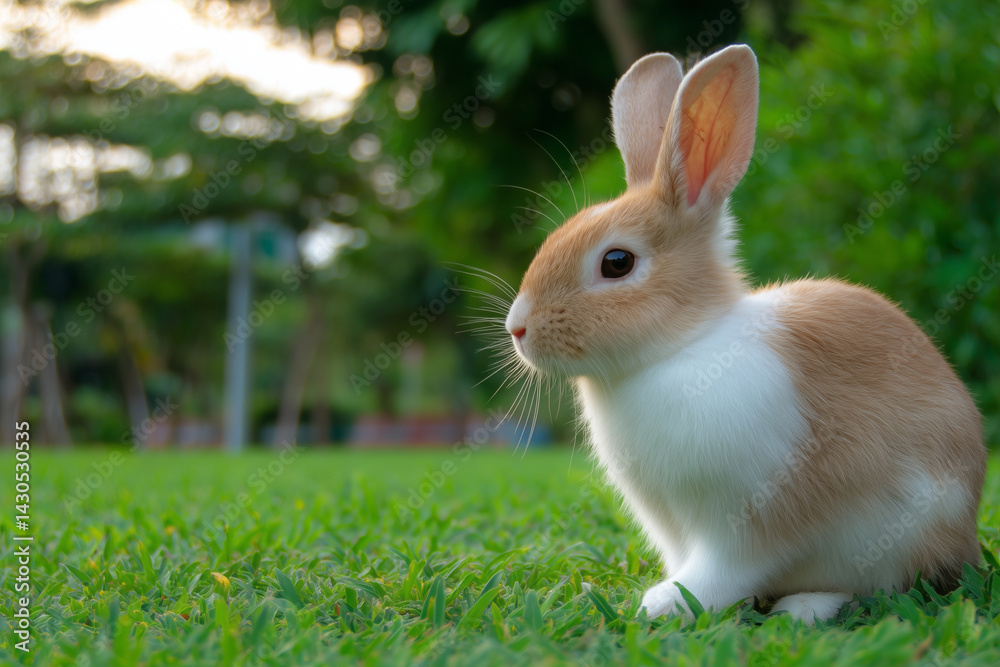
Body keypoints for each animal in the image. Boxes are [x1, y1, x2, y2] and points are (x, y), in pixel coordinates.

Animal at [502, 44, 986, 622]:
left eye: (617, 263)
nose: (516, 327)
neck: (681, 348)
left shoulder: (750, 520)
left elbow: (724, 570)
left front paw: (665, 603)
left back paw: (804, 607)